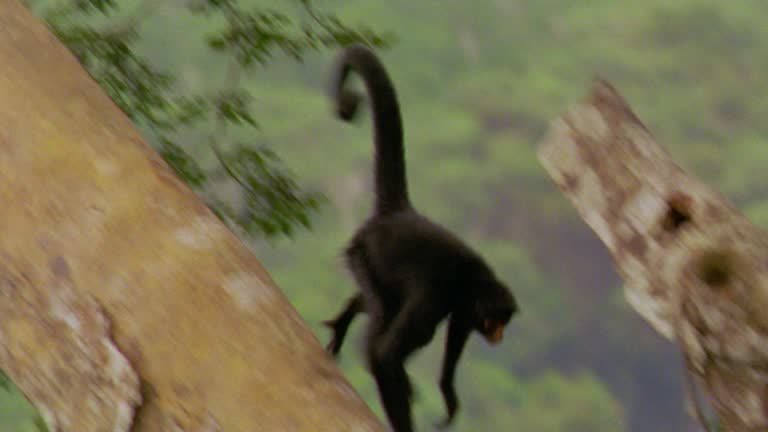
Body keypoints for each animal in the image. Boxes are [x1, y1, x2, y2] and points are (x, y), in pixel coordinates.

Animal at [323, 43, 518, 432]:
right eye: (497, 322)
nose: (499, 336)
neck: (470, 279)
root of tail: (398, 213)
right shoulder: (436, 296)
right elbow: (385, 355)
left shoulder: (460, 308)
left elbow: (455, 336)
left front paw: (448, 395)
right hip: (361, 254)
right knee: (385, 316)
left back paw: (348, 314)